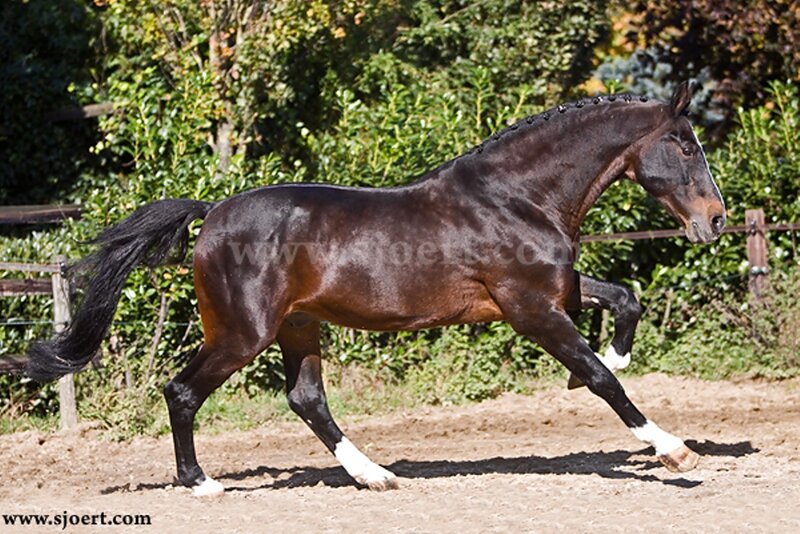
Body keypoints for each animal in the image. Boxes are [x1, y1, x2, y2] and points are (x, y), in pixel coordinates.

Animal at [27, 81, 725, 497]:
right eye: (684, 145)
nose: (715, 221)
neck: (517, 197)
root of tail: (212, 212)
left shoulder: (552, 292)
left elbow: (624, 303)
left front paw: (608, 359)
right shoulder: (530, 308)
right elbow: (606, 382)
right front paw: (675, 453)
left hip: (298, 326)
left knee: (306, 400)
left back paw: (376, 476)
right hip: (242, 332)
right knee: (182, 391)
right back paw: (201, 483)